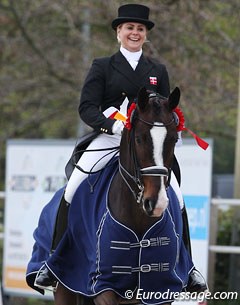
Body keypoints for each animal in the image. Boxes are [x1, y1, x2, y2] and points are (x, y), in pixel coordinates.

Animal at [28, 85, 193, 304]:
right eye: (139, 138)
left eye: (174, 139)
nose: (156, 202)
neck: (138, 218)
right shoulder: (104, 283)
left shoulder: (160, 289)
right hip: (65, 288)